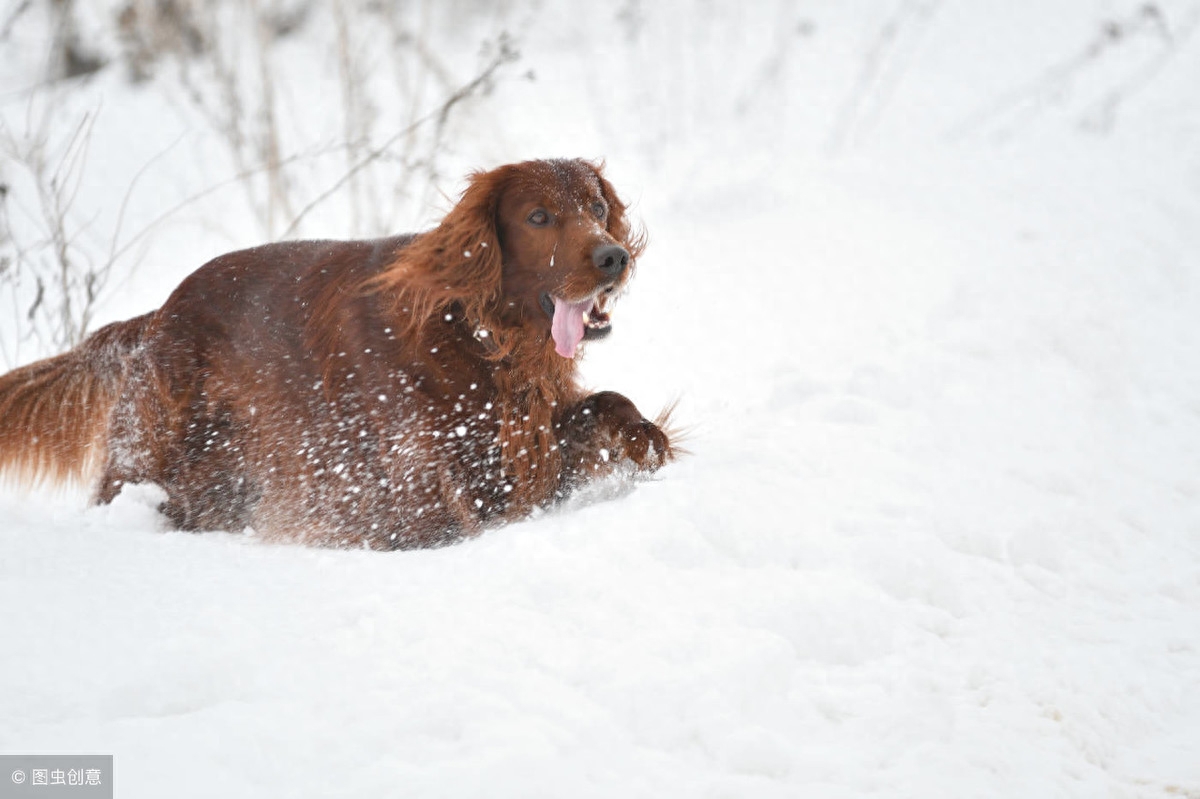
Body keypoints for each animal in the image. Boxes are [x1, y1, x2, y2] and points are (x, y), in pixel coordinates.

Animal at [0, 160, 676, 547]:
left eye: (596, 207)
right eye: (538, 217)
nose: (613, 256)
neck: (476, 332)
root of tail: (157, 318)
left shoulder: (518, 437)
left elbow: (609, 404)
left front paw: (649, 447)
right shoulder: (411, 477)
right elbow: (435, 523)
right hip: (160, 458)